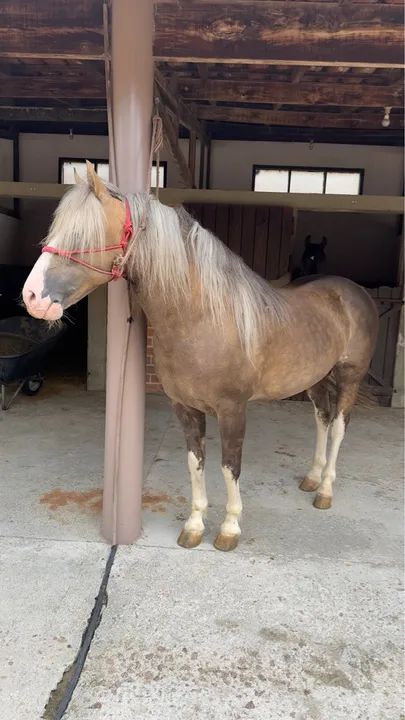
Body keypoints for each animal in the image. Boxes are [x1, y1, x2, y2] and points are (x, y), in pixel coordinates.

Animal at [22, 162, 378, 552]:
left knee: (340, 426)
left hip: (349, 377)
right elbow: (196, 463)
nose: (31, 296)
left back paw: (325, 490)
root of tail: (354, 292)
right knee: (322, 420)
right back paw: (313, 478)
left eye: (84, 234)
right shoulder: (185, 407)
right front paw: (194, 526)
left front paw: (229, 529)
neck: (203, 319)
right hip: (316, 379)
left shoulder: (233, 409)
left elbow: (229, 466)